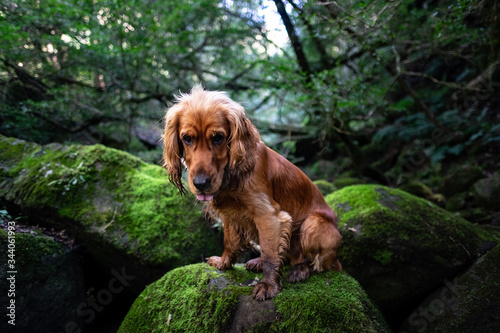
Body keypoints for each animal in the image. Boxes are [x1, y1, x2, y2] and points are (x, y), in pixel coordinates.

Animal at [162, 85, 342, 298]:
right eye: (187, 138)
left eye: (218, 138)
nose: (201, 183)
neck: (231, 175)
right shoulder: (229, 214)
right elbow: (230, 241)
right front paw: (223, 263)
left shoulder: (269, 216)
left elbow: (270, 253)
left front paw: (268, 285)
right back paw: (259, 262)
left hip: (312, 224)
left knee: (316, 263)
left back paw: (300, 270)